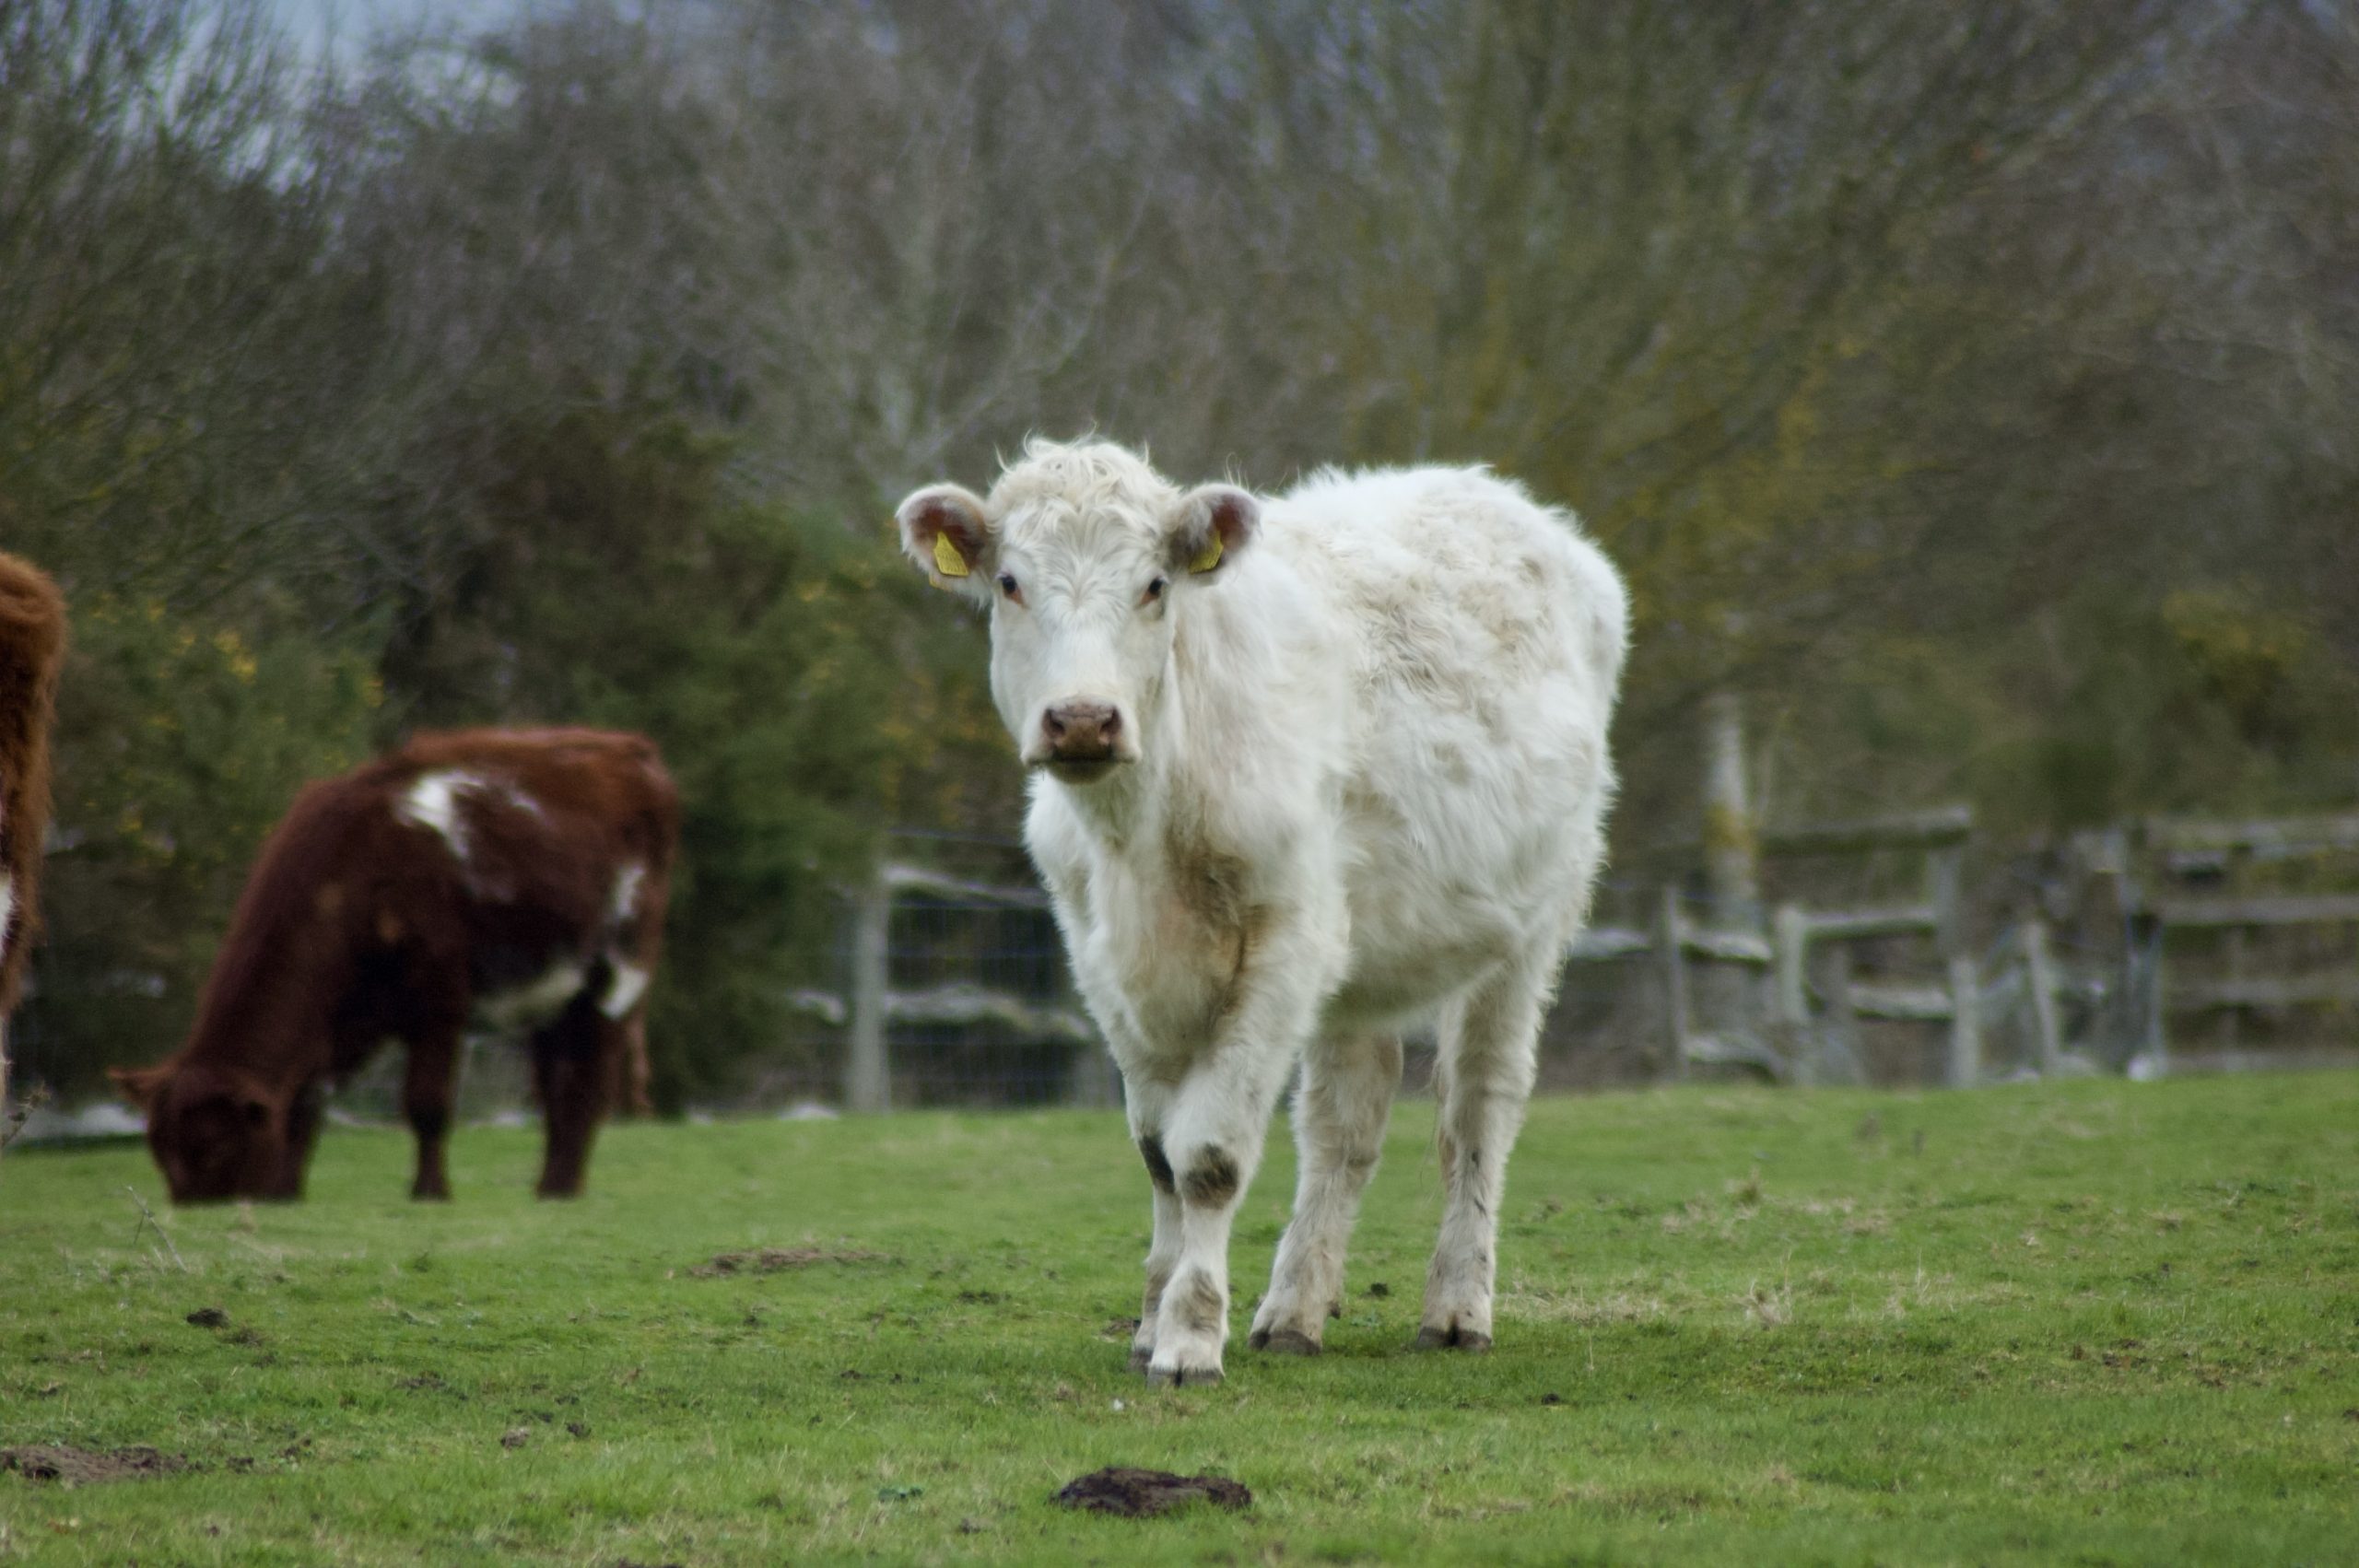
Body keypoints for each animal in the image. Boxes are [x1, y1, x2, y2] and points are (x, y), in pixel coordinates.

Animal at [112, 727, 678, 1204]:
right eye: (160, 1151)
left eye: (215, 1147)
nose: (192, 1207)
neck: (352, 875)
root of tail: (624, 747)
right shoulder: (340, 1020)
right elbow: (304, 1103)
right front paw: (286, 1192)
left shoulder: (438, 998)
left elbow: (426, 1104)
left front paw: (430, 1191)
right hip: (550, 990)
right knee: (556, 1081)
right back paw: (550, 1184)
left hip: (619, 973)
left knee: (587, 1080)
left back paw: (561, 1188)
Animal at [897, 439, 1628, 1385]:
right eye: (1011, 582)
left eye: (1155, 585)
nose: (1085, 720)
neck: (1143, 835)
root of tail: (1481, 486)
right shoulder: (1103, 962)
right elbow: (1158, 1154)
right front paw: (1150, 1324)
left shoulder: (1285, 943)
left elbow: (1208, 1158)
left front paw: (1188, 1339)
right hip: (1363, 949)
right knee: (1345, 1121)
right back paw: (1293, 1311)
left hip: (1535, 917)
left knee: (1477, 1108)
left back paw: (1457, 1308)